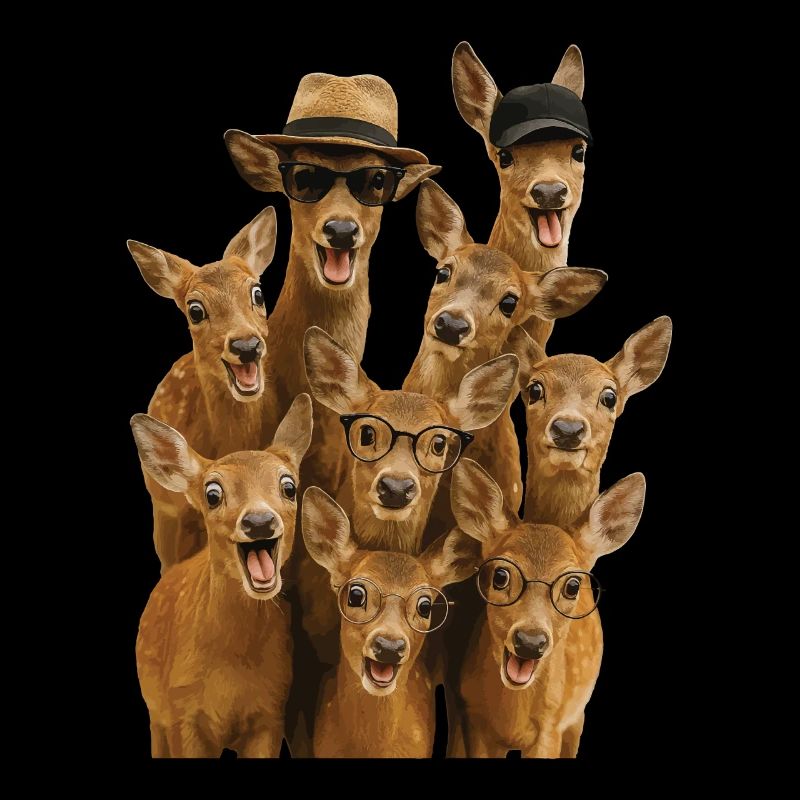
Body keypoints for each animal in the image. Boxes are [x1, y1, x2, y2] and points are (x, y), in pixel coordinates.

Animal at [131, 394, 313, 758]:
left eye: (289, 486)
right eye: (212, 493)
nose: (259, 521)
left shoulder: (270, 714)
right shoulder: (182, 714)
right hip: (156, 714)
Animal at [449, 458, 646, 758]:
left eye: (573, 585)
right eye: (500, 575)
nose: (530, 642)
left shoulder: (550, 727)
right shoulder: (475, 719)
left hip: (576, 717)